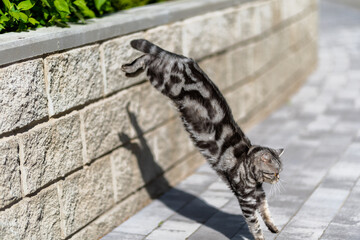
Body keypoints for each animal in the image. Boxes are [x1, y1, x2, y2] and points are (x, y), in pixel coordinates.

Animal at [122, 39, 286, 240]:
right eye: (274, 173)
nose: (279, 179)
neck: (249, 169)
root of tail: (185, 60)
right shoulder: (246, 198)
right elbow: (254, 223)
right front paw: (260, 237)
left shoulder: (258, 193)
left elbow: (266, 211)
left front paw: (273, 227)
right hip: (161, 80)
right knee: (147, 58)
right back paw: (130, 69)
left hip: (159, 74)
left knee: (151, 56)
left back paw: (128, 69)